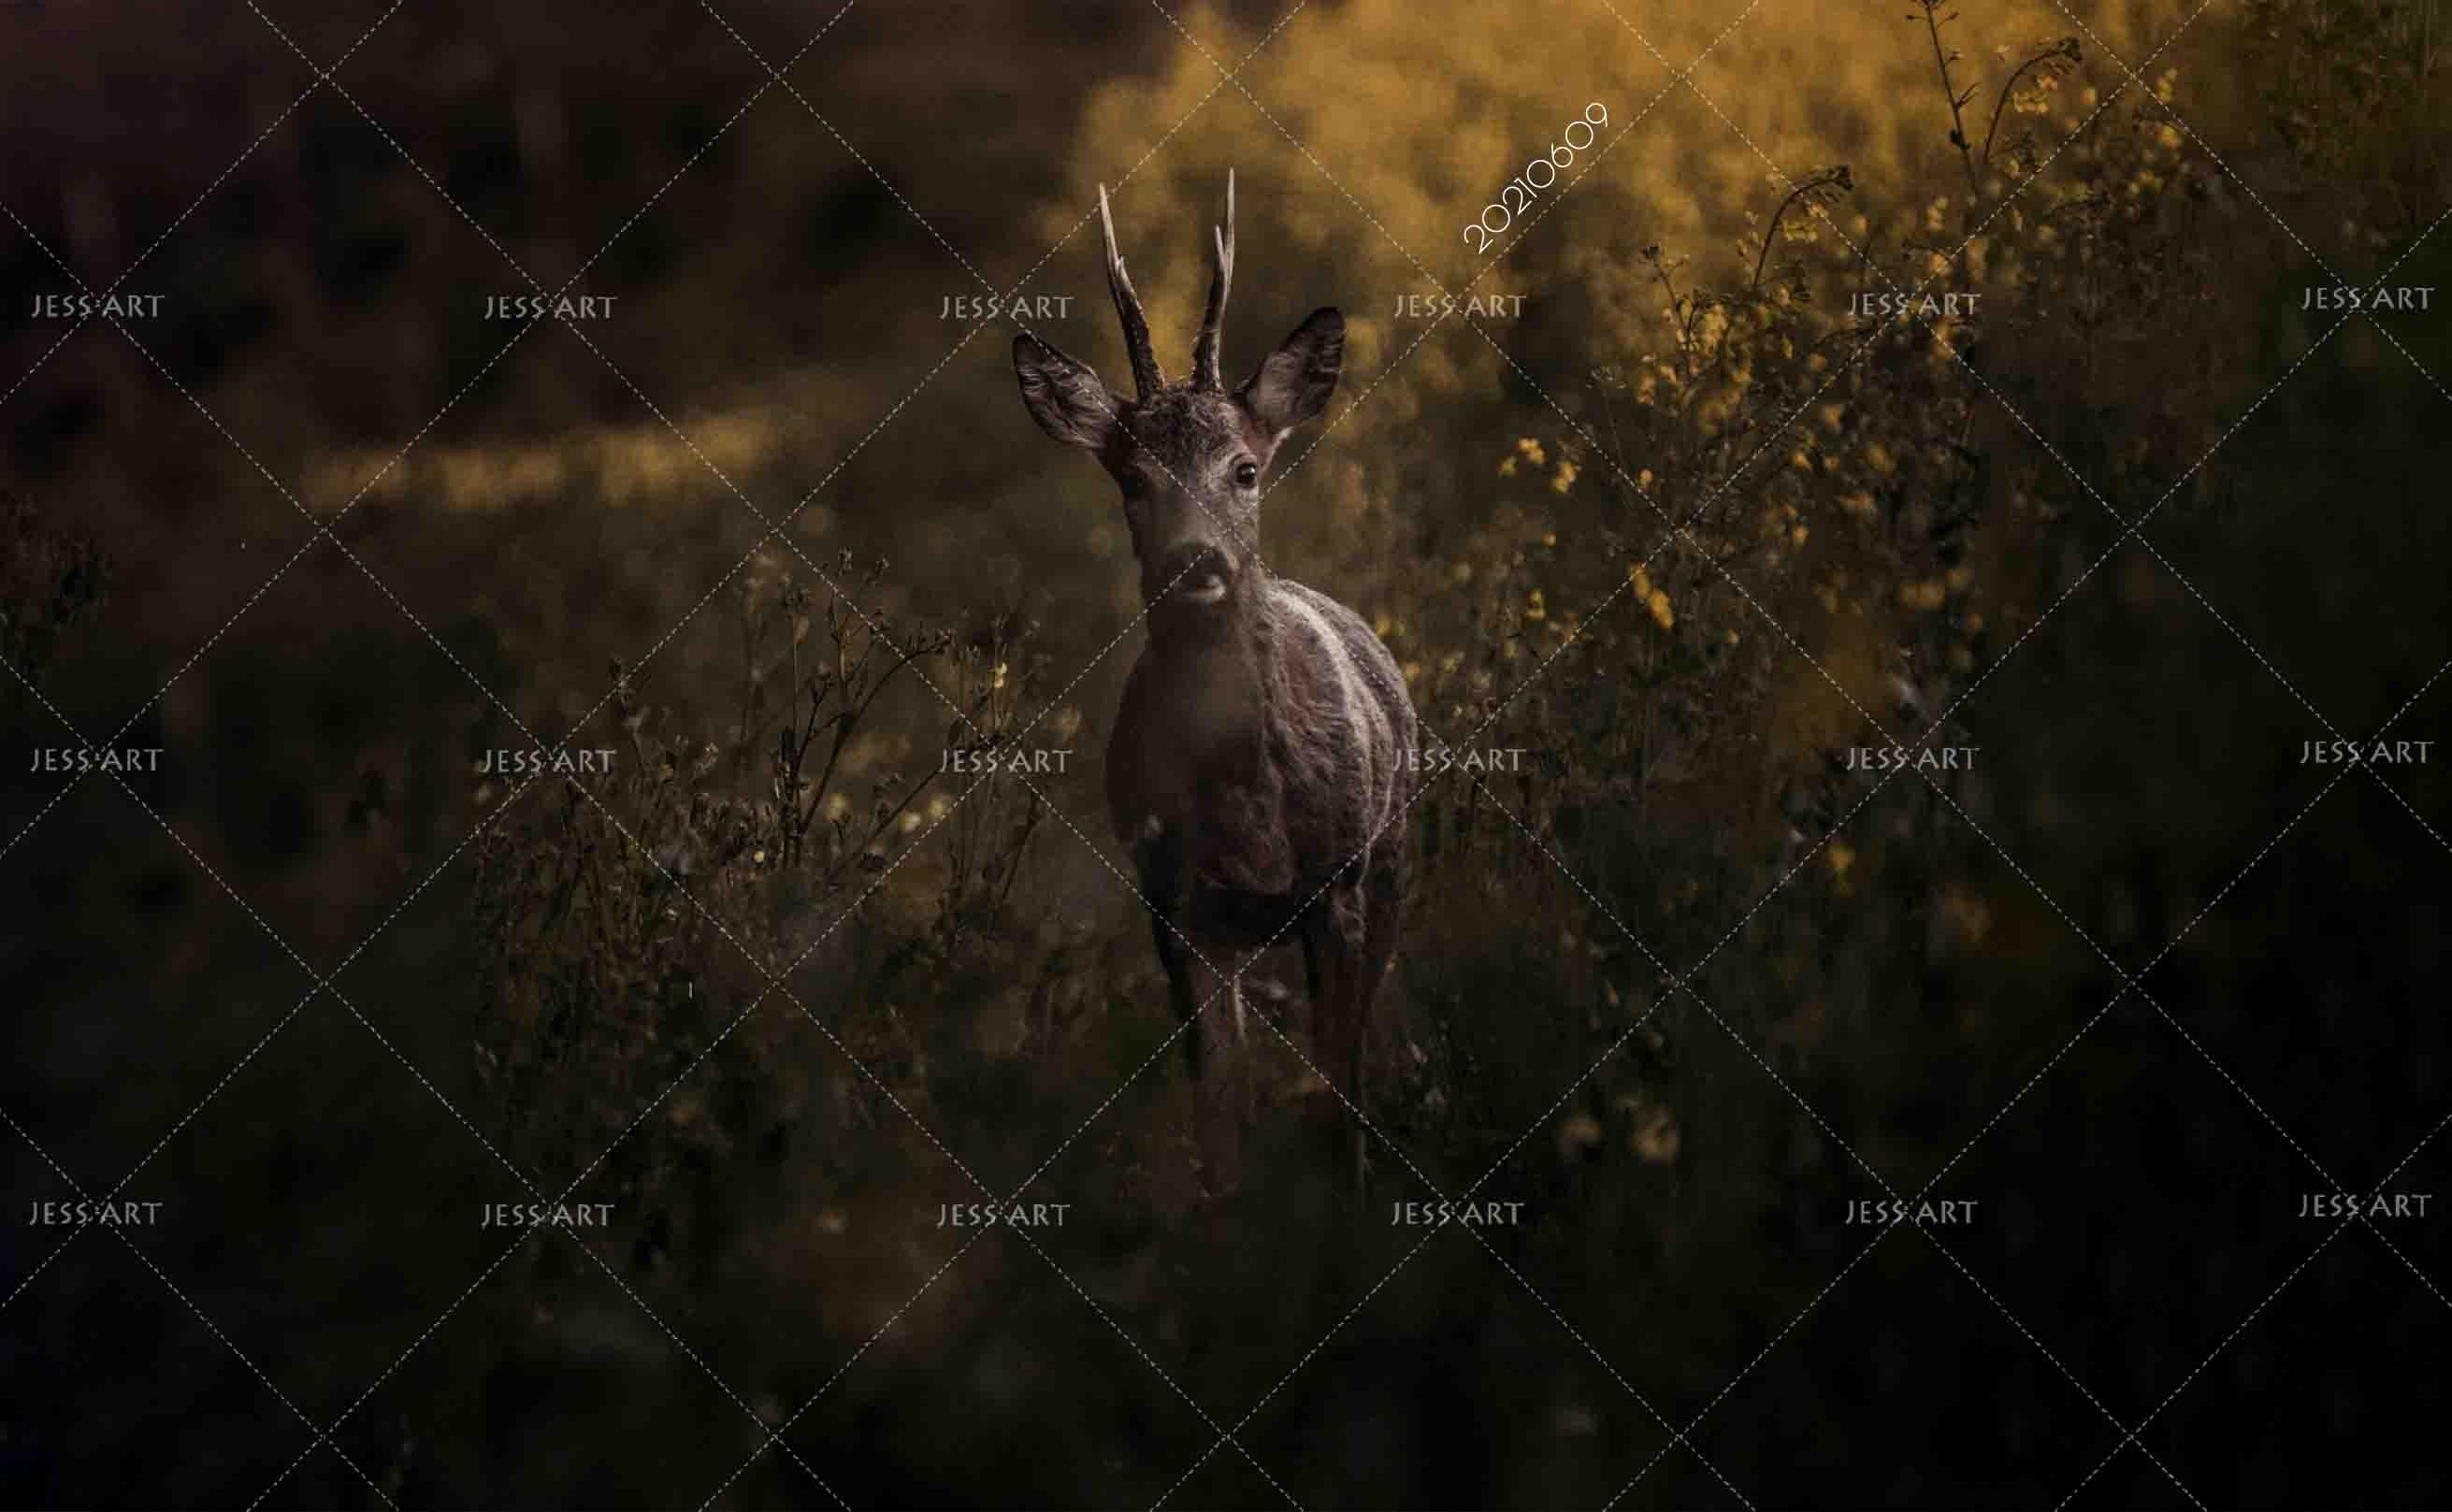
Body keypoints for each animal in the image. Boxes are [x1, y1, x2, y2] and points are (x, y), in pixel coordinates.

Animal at [1012, 173, 1416, 1191]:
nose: (1196, 563)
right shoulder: (1173, 903)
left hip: (1394, 855)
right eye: (1131, 479)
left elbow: (1338, 1091)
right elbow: (1219, 1120)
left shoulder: (1338, 880)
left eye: (1244, 468)